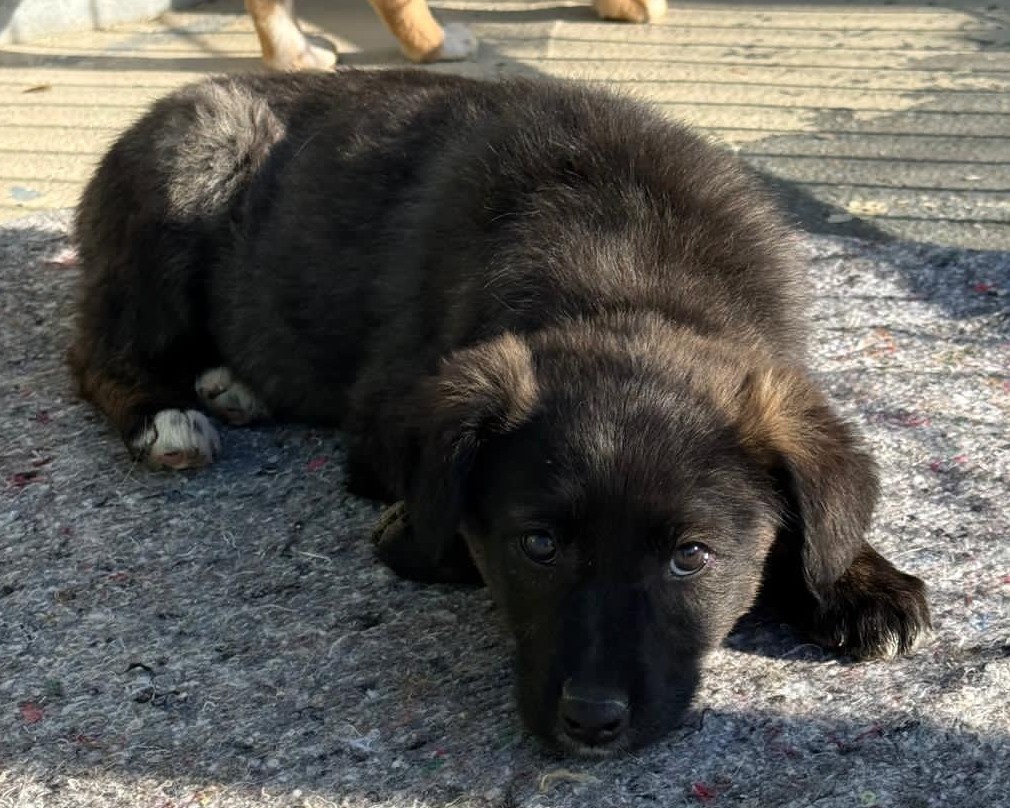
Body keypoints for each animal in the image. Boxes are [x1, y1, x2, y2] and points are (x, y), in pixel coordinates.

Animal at [69, 69, 931, 754]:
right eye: (538, 545)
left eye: (692, 557)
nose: (592, 723)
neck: (628, 276)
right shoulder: (386, 425)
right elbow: (434, 525)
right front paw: (413, 540)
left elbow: (818, 523)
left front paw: (854, 578)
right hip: (192, 171)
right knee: (98, 351)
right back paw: (167, 415)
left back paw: (230, 384)